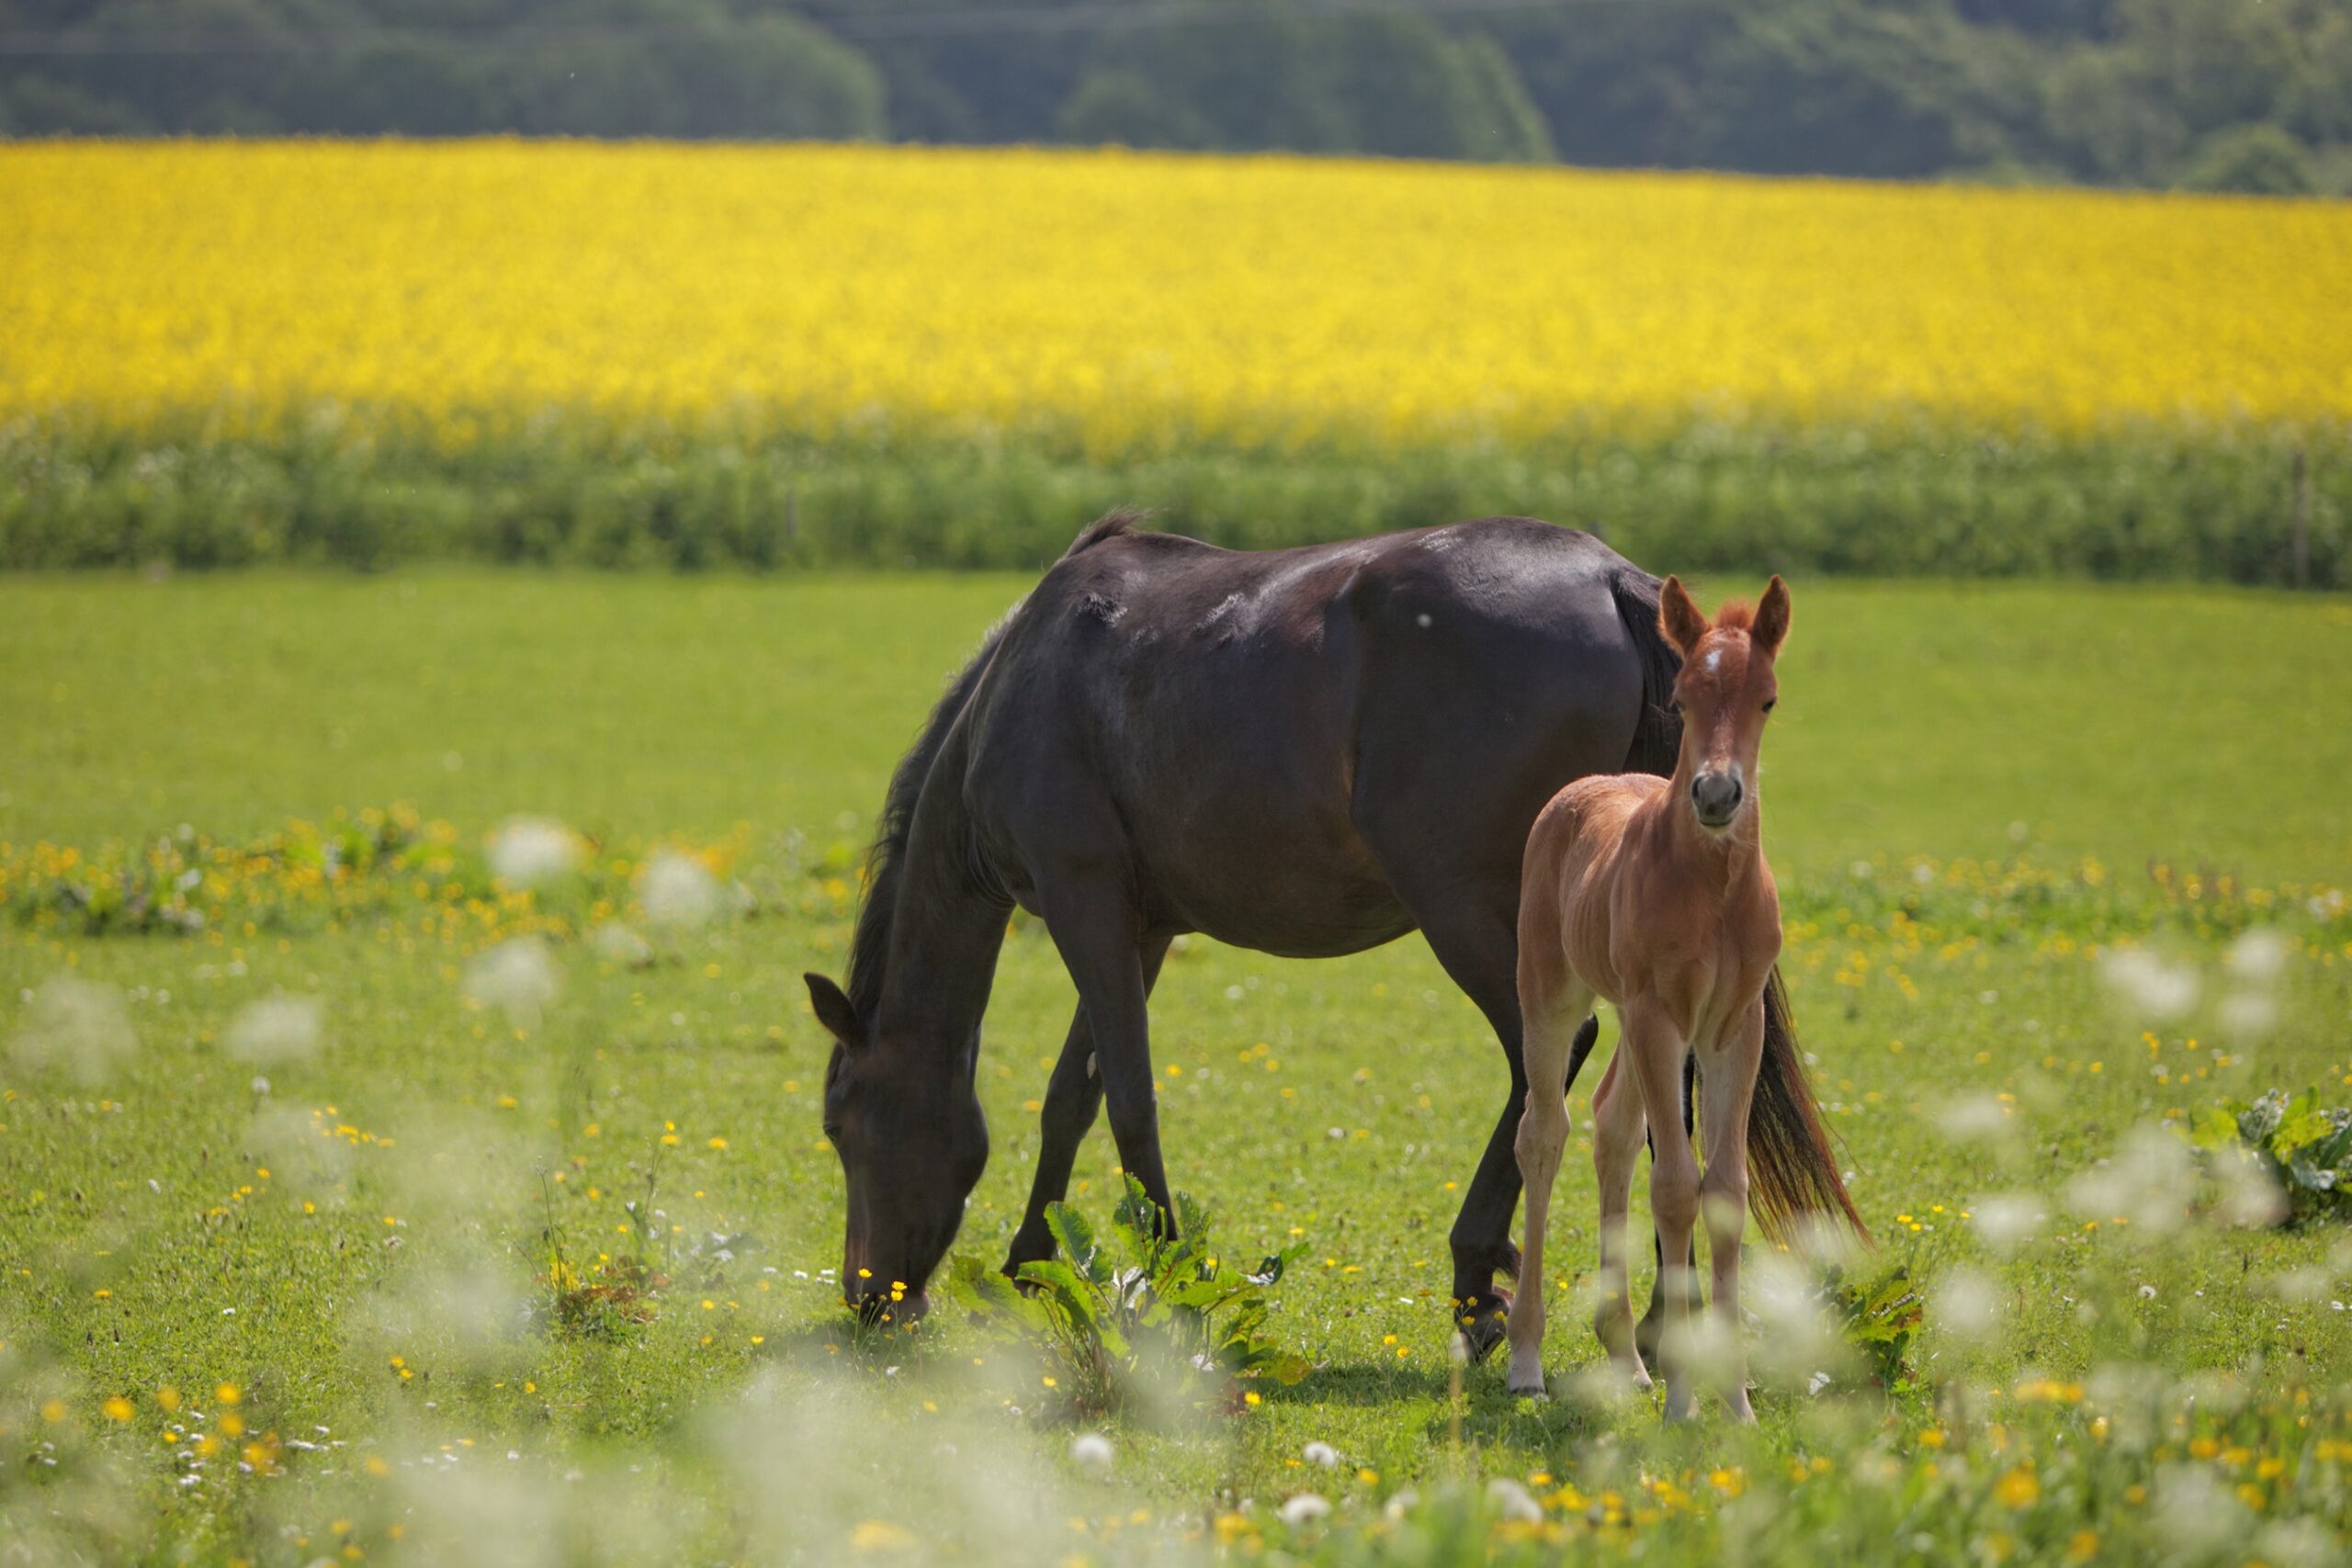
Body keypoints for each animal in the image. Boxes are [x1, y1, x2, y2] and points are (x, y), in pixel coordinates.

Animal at [804, 512, 1769, 1354]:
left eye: (840, 1123)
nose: (868, 1296)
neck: (1025, 683)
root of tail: (1609, 578)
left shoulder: (1084, 902)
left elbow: (1128, 1098)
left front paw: (1167, 1270)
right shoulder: (1139, 928)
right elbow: (1070, 1097)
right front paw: (1032, 1262)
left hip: (1463, 908)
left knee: (1551, 1061)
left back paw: (1477, 1276)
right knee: (1660, 1084)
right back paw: (1660, 1319)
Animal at [1505, 581, 1853, 1419]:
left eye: (1767, 698)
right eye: (1683, 697)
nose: (1718, 793)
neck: (1713, 889)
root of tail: (1580, 789)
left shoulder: (1734, 1024)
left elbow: (1723, 1188)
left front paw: (1735, 1398)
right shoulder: (1661, 1016)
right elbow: (1673, 1188)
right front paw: (1683, 1401)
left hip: (1636, 1023)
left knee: (1612, 1124)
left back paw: (1628, 1358)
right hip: (1556, 997)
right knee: (1545, 1132)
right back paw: (1527, 1358)